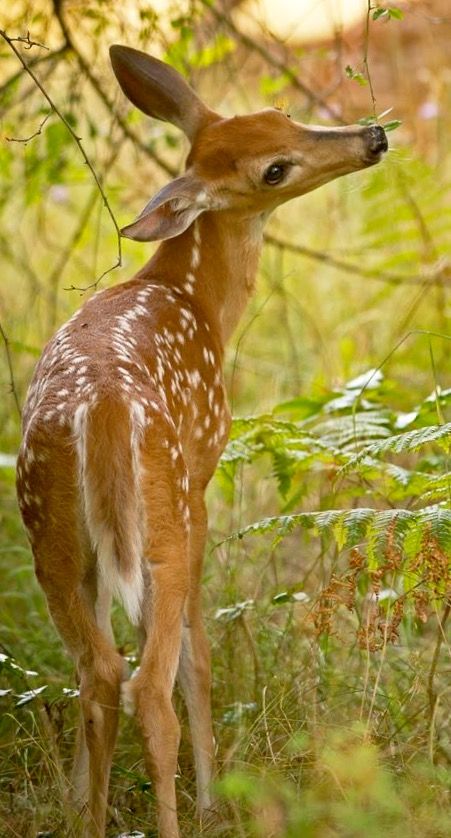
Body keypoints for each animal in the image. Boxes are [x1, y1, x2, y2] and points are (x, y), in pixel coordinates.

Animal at [15, 45, 387, 837]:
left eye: (279, 115)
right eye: (272, 170)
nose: (371, 137)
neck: (197, 301)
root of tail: (104, 412)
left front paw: (75, 795)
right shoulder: (204, 479)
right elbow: (200, 654)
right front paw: (213, 795)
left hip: (52, 533)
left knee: (97, 673)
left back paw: (88, 819)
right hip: (167, 515)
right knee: (149, 685)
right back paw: (182, 814)